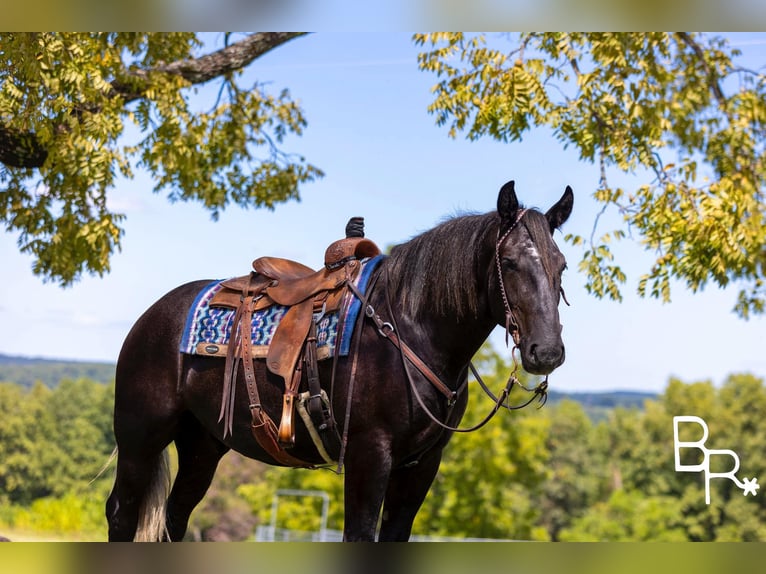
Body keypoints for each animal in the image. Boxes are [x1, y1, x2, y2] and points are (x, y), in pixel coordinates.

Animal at [106, 180, 573, 541]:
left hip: (202, 445)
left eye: (562, 265)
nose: (547, 351)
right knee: (121, 513)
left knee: (174, 518)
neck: (411, 330)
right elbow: (359, 536)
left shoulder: (421, 466)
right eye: (508, 262)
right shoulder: (369, 455)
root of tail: (154, 314)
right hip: (139, 438)